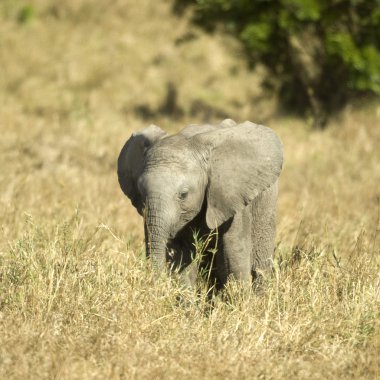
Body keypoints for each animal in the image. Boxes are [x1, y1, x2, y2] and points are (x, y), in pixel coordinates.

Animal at [117, 119, 284, 288]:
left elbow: (234, 253)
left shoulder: (232, 195)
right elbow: (182, 258)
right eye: (141, 193)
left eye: (183, 195)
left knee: (259, 267)